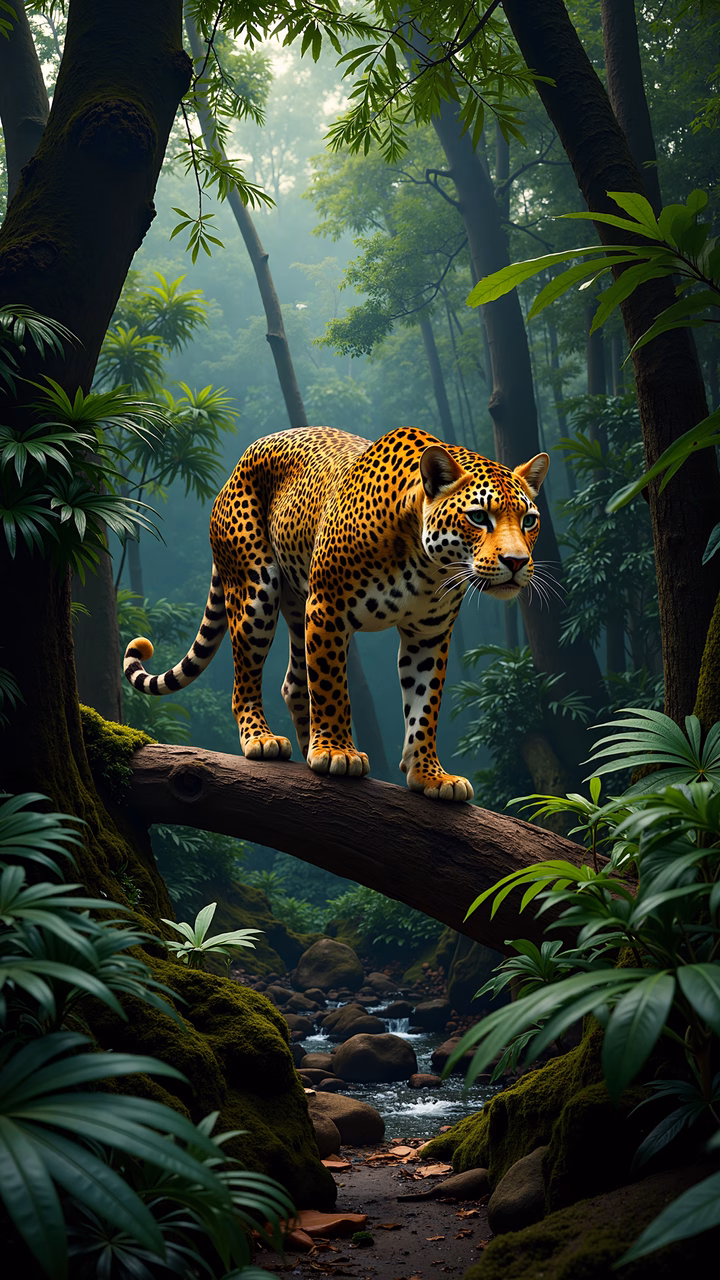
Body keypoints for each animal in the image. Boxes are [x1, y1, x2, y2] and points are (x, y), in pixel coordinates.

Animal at [123, 426, 548, 802]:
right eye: (478, 517)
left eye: (529, 520)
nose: (516, 562)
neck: (428, 566)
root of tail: (235, 469)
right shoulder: (327, 608)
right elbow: (331, 687)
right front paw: (336, 753)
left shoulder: (429, 634)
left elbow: (424, 707)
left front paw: (429, 775)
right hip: (256, 590)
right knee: (246, 678)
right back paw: (262, 739)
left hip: (297, 606)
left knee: (294, 682)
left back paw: (305, 745)